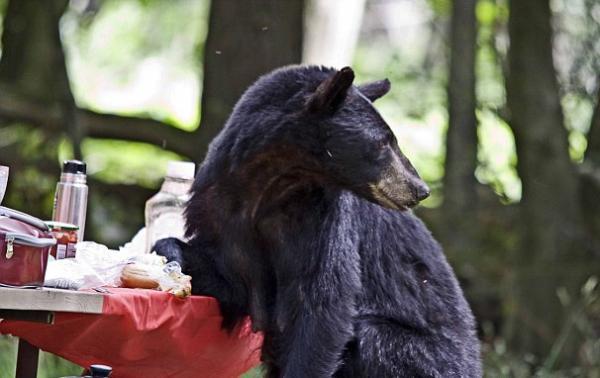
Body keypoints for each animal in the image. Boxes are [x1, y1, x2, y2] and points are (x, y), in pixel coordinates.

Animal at [156, 65, 482, 378]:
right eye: (382, 142)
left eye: (392, 139)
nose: (420, 188)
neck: (270, 185)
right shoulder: (220, 210)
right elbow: (230, 279)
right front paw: (170, 255)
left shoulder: (322, 218)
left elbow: (323, 303)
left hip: (430, 360)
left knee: (373, 338)